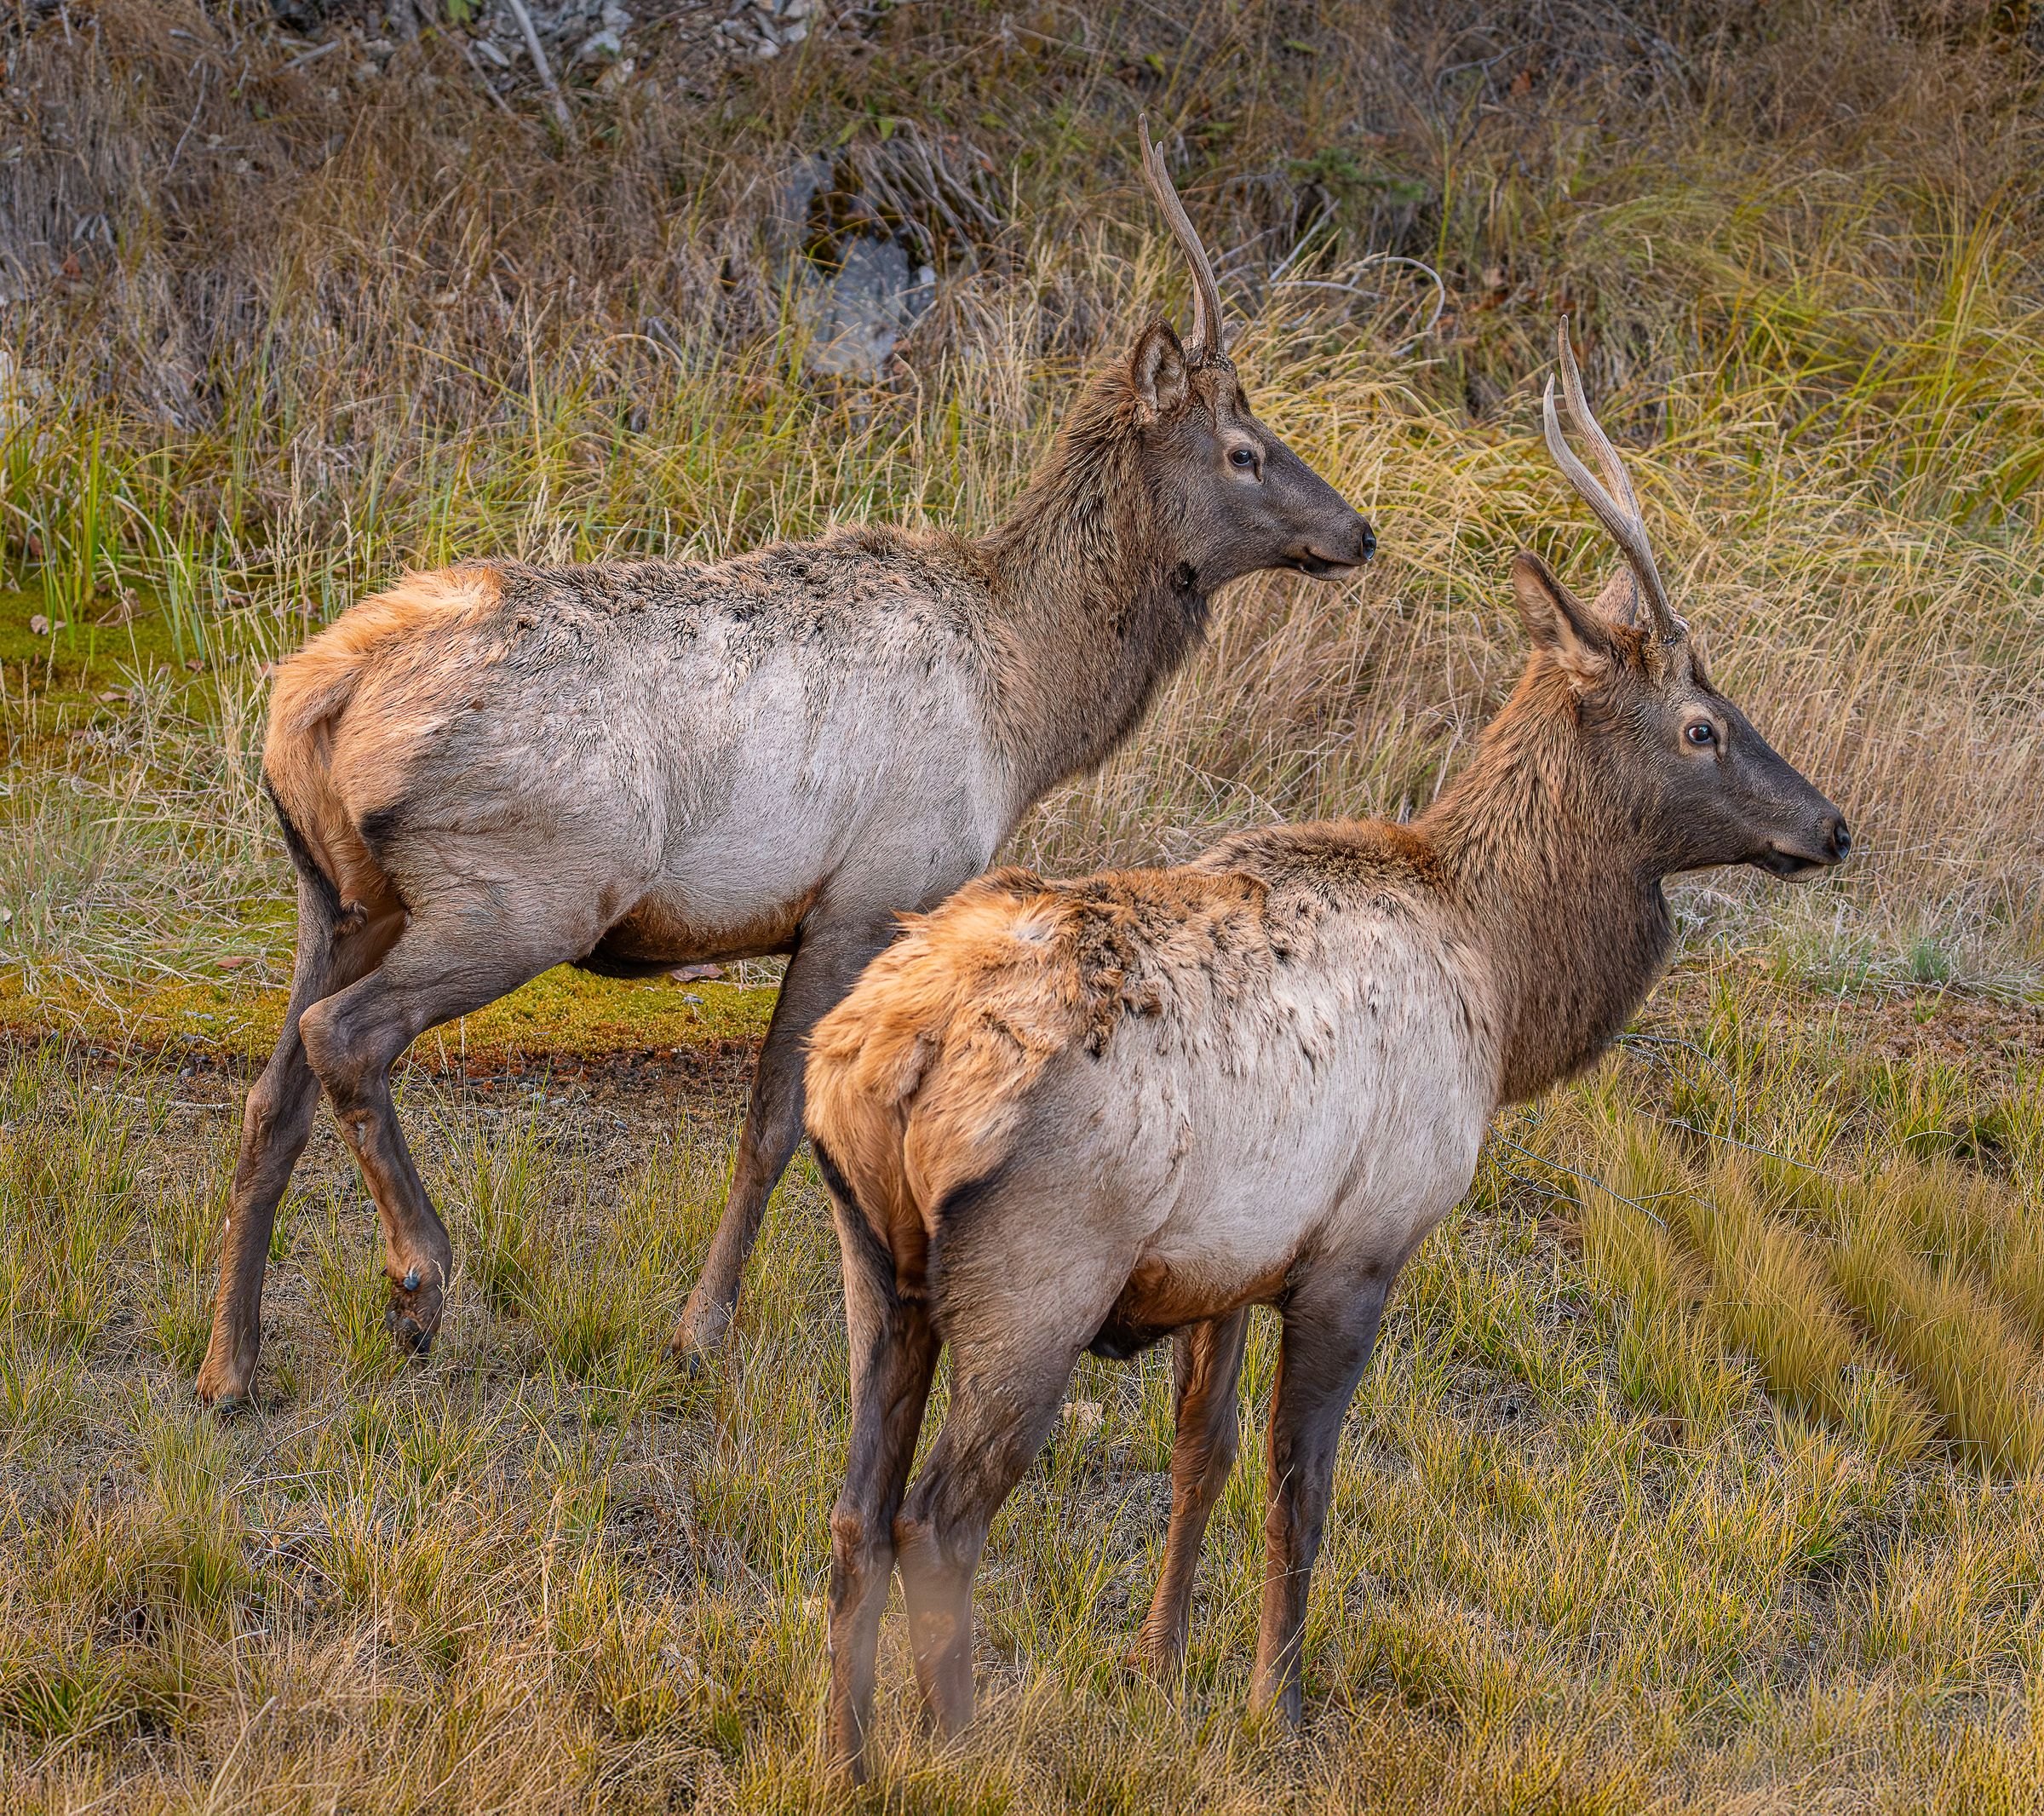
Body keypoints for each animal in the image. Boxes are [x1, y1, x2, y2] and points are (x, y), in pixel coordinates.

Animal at [193, 121, 1375, 1407]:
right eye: (1244, 451)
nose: (1358, 530)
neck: (1027, 700)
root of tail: (312, 699)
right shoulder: (867, 892)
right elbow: (772, 1124)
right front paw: (698, 1331)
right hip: (519, 888)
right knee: (345, 1038)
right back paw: (418, 1278)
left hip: (335, 892)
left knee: (266, 1097)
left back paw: (228, 1364)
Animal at [803, 320, 1853, 1778]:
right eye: (1703, 726)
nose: (1831, 826)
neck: (1502, 976)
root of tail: (881, 1060)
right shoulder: (1363, 1244)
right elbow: (1301, 1491)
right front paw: (1275, 1708)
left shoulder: (1230, 1264)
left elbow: (1202, 1456)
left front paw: (1159, 1665)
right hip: (1040, 1274)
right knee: (939, 1520)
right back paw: (962, 1752)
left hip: (872, 1260)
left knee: (855, 1508)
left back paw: (846, 1755)